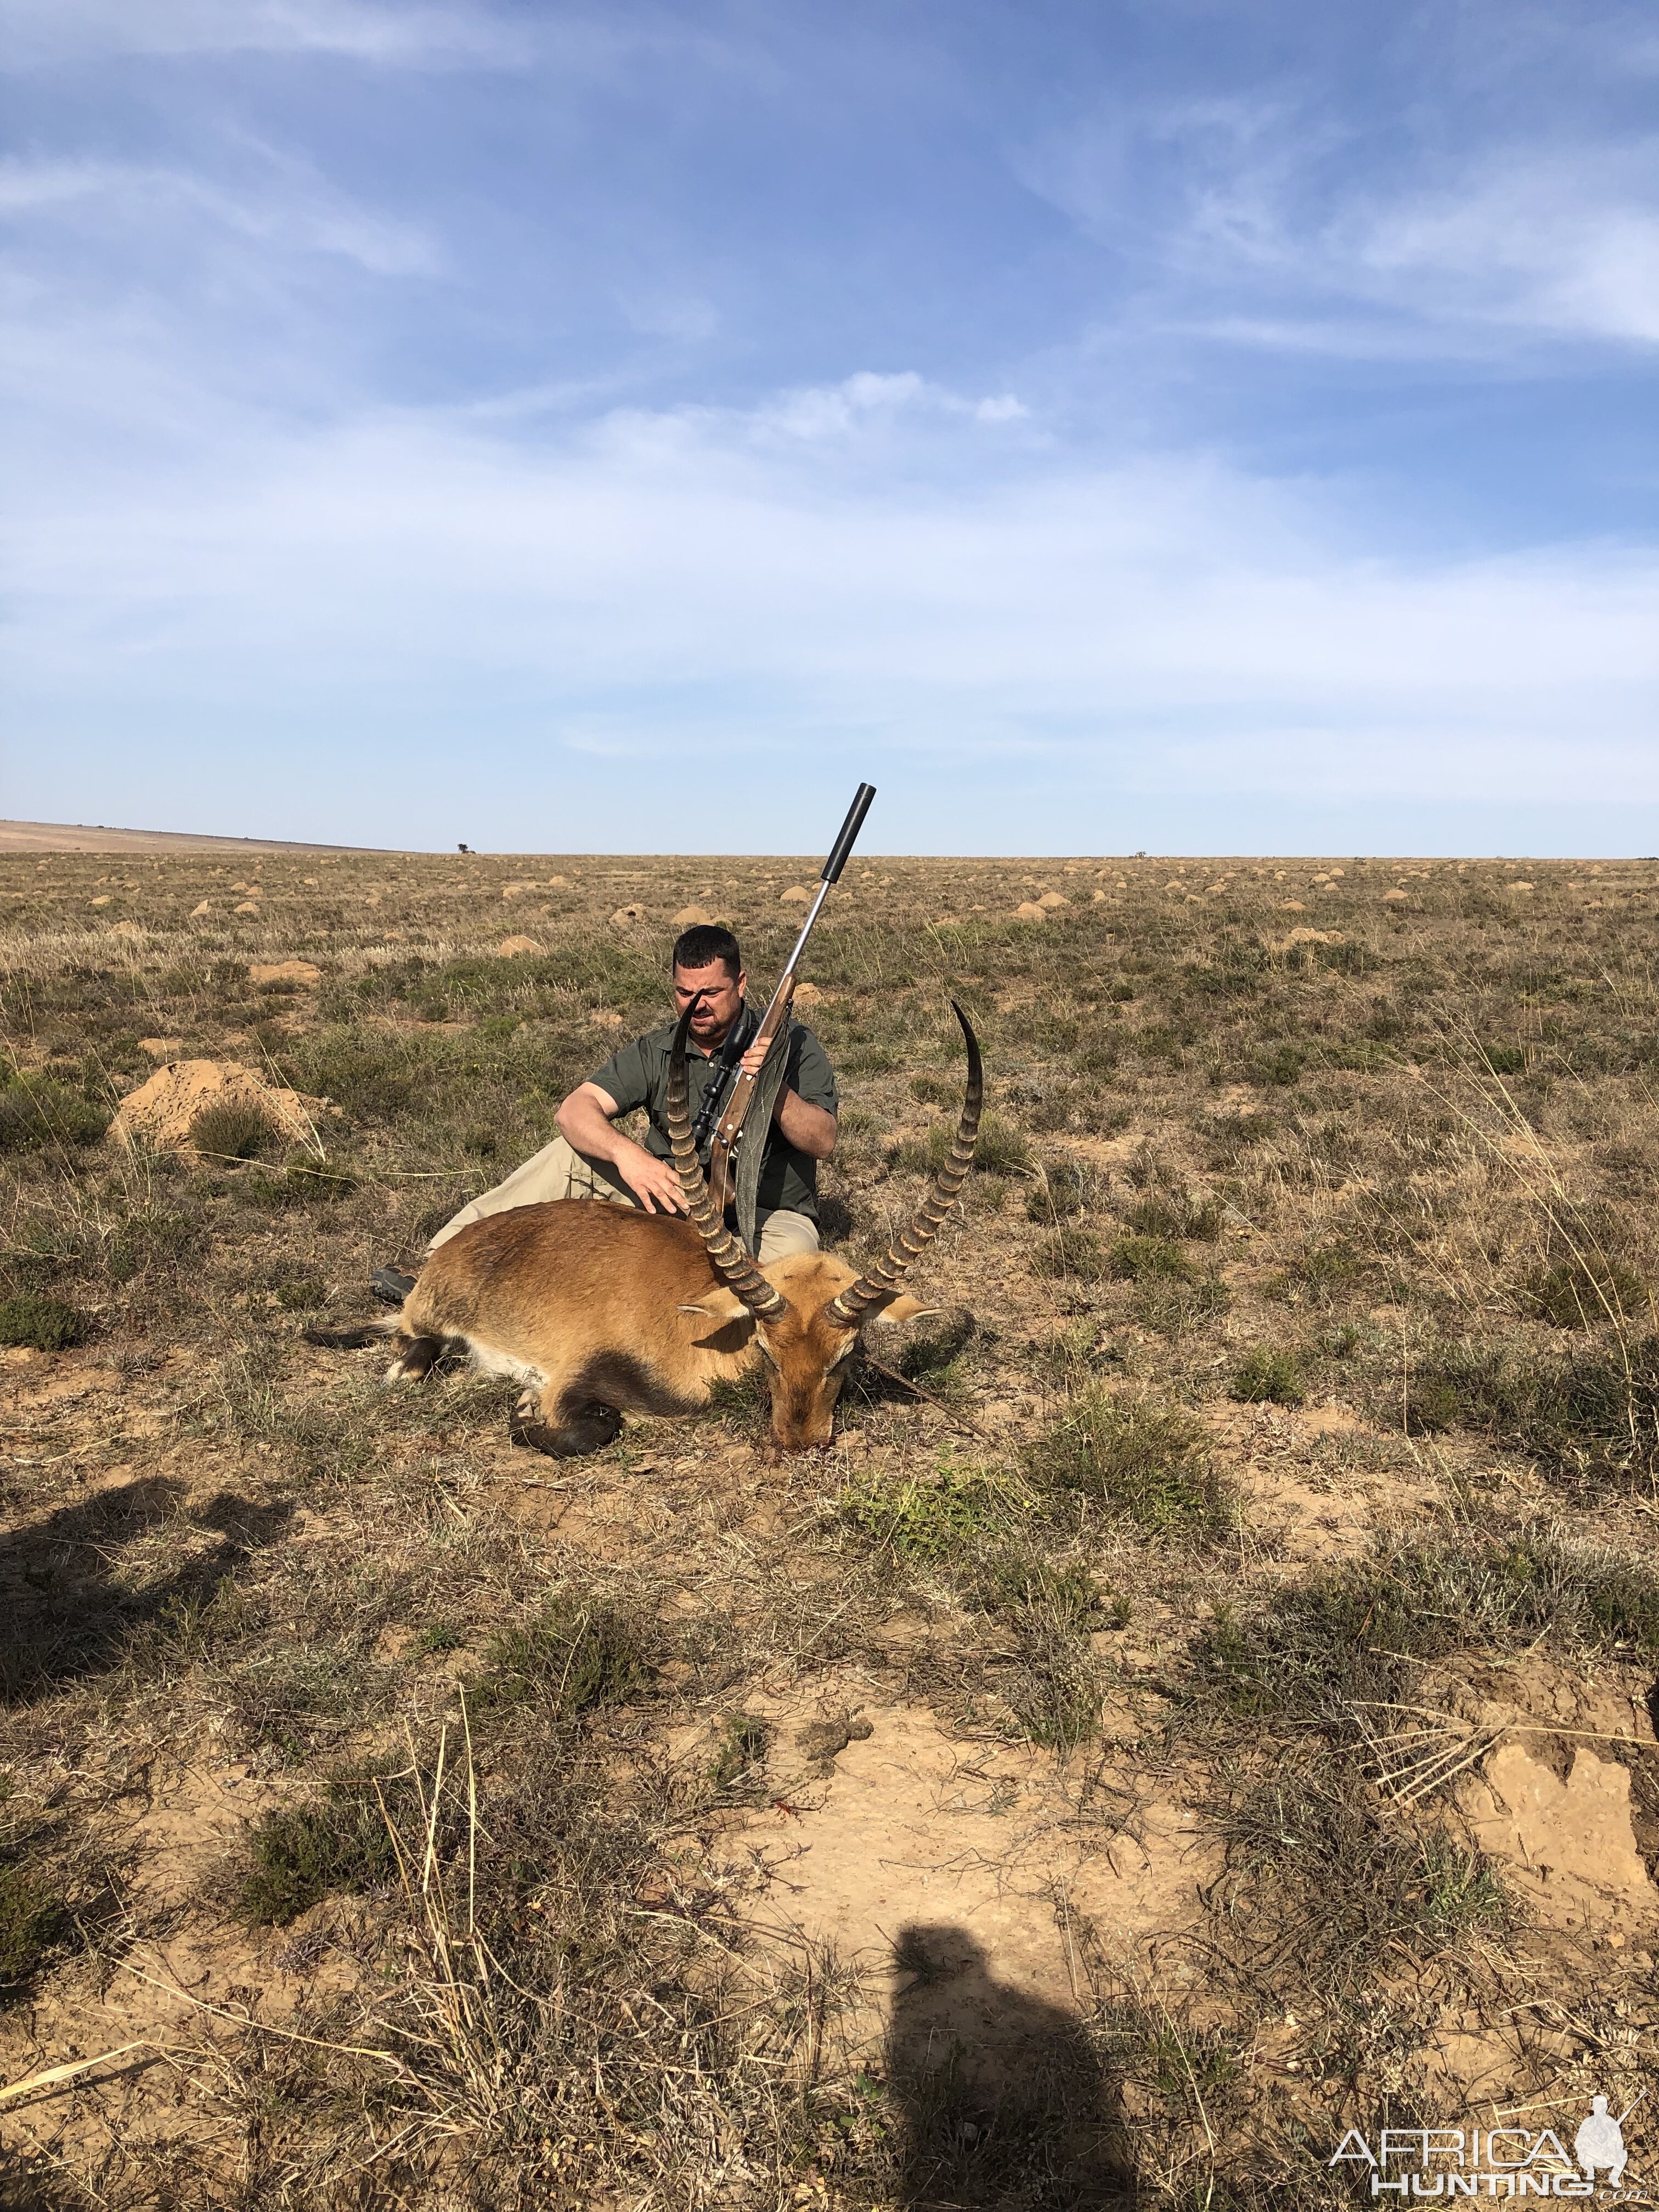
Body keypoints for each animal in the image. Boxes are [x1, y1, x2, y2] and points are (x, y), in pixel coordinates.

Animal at [309, 1004, 982, 1451]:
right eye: (767, 1349)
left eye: (846, 1355)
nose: (800, 1441)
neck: (702, 1332)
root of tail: (448, 1255)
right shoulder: (575, 1379)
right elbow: (588, 1428)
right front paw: (528, 1413)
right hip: (427, 1328)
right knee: (413, 1352)